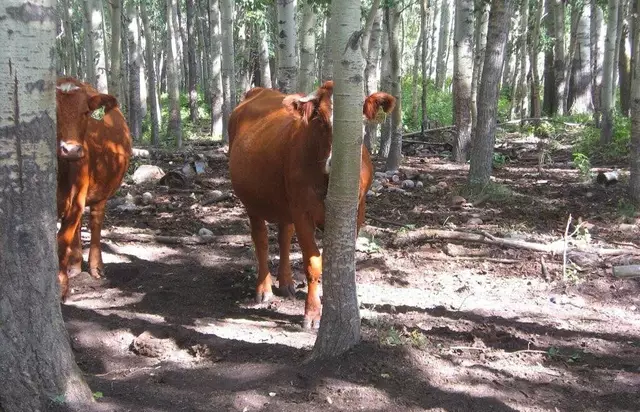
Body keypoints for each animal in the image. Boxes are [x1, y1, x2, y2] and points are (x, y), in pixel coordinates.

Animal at [56, 76, 132, 300]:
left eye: (85, 112)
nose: (71, 149)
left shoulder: (77, 199)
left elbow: (62, 240)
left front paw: (61, 286)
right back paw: (74, 266)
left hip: (102, 193)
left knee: (95, 222)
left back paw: (96, 267)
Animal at [228, 81, 395, 328]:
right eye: (321, 120)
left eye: (362, 121)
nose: (335, 163)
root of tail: (258, 91)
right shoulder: (303, 212)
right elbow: (313, 263)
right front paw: (313, 313)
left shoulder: (357, 211)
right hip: (252, 201)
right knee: (261, 241)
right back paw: (264, 289)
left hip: (285, 203)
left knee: (284, 236)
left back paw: (286, 283)